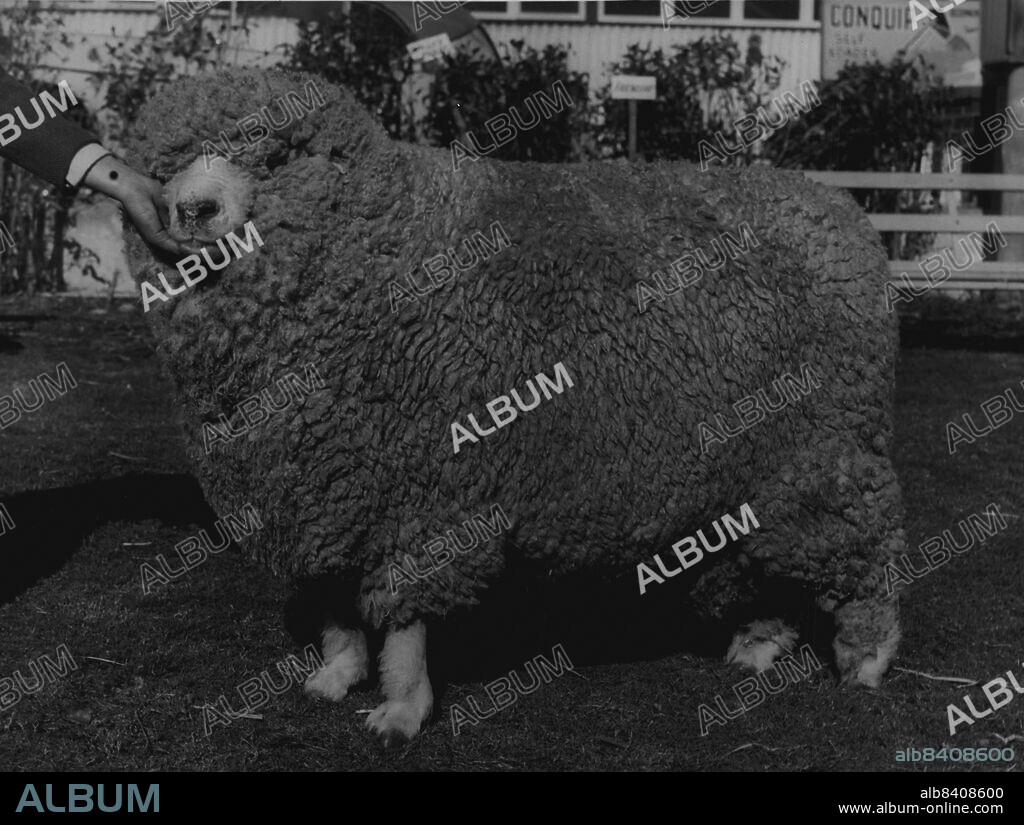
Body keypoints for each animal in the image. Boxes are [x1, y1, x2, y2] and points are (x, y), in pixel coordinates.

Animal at [125, 68, 905, 745]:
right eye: (166, 164)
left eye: (275, 157)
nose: (192, 211)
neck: (378, 246)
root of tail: (839, 211)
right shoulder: (325, 488)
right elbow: (339, 604)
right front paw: (338, 674)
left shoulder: (426, 485)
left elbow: (407, 616)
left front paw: (402, 707)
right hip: (763, 464)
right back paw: (759, 644)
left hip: (827, 444)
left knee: (867, 544)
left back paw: (867, 658)